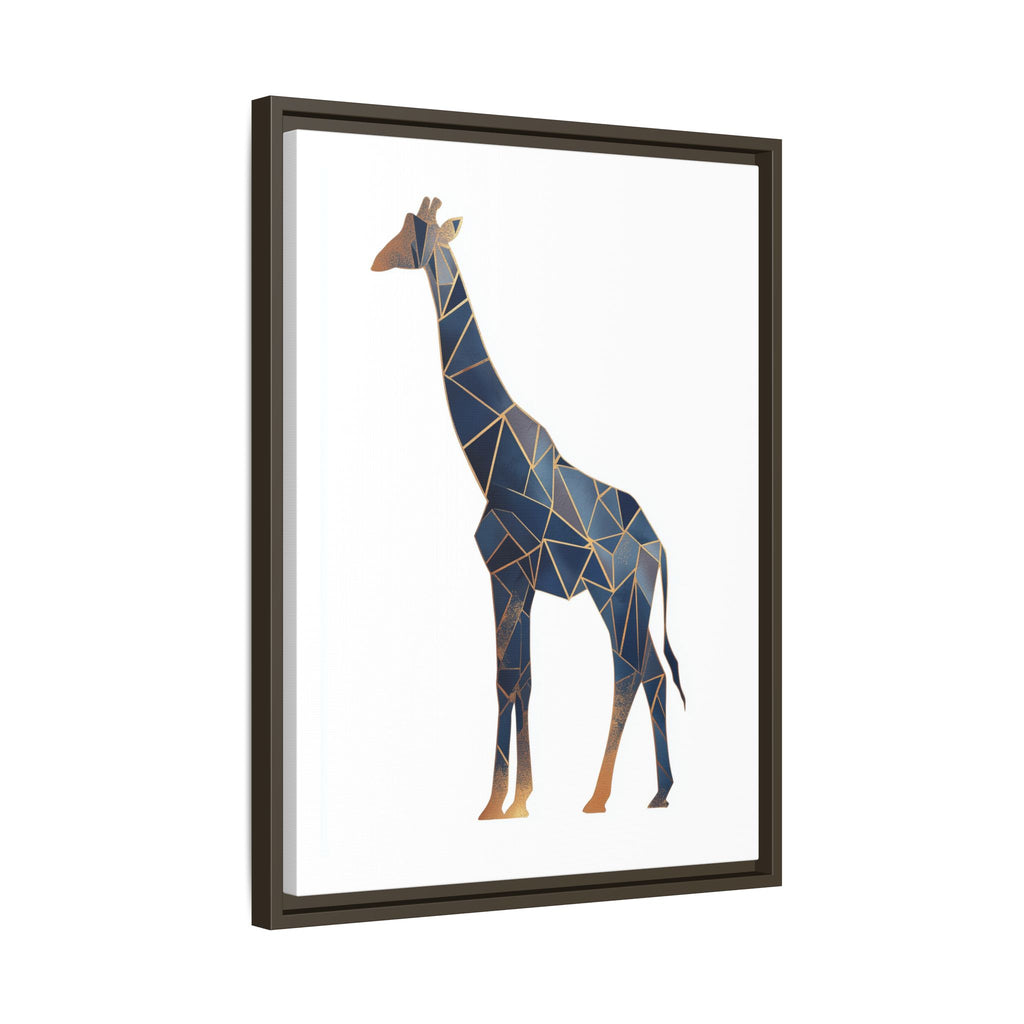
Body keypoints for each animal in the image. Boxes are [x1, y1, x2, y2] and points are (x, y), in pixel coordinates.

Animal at [371, 197, 686, 819]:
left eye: (413, 234)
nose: (376, 260)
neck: (493, 464)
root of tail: (659, 547)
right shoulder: (520, 580)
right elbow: (523, 679)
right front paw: (520, 799)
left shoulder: (505, 572)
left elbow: (506, 679)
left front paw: (496, 803)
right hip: (631, 597)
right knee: (653, 673)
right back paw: (659, 792)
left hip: (613, 594)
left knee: (629, 671)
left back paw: (599, 796)